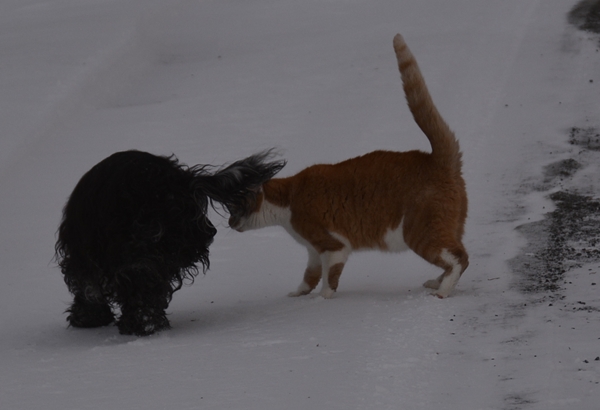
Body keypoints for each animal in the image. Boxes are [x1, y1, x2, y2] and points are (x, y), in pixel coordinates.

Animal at [54, 151, 286, 336]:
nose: (210, 233)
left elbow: (88, 287)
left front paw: (86, 317)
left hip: (142, 252)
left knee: (139, 284)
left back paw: (140, 325)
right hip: (175, 247)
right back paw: (147, 324)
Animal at [227, 33, 466, 298]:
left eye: (235, 208)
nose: (229, 223)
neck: (288, 201)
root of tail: (438, 159)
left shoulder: (333, 247)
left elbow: (328, 279)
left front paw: (322, 298)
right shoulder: (313, 251)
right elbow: (309, 276)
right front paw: (298, 294)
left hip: (420, 233)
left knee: (459, 258)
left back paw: (442, 291)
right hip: (450, 227)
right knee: (455, 254)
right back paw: (437, 282)